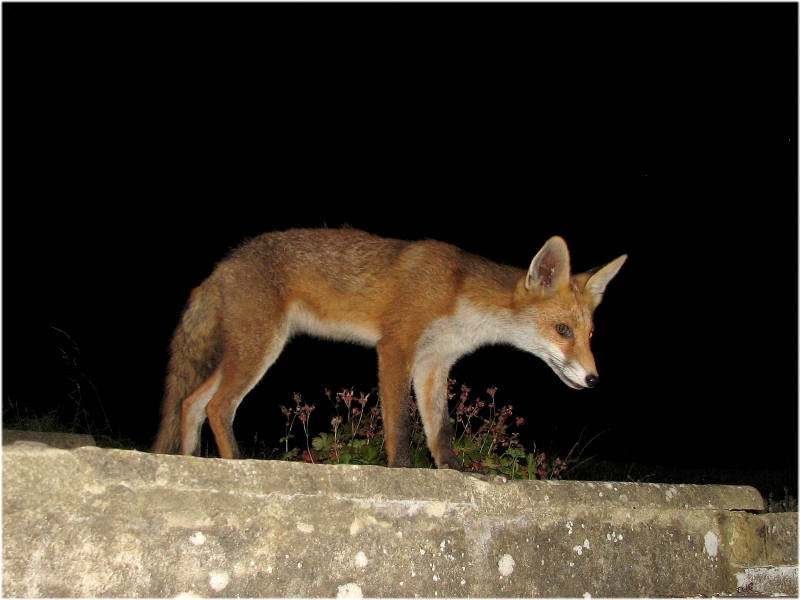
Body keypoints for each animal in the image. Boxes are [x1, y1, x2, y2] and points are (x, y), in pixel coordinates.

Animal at [152, 227, 627, 470]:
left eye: (589, 335)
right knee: (218, 407)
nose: (593, 379)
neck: (460, 296)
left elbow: (440, 432)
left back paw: (191, 463)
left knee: (192, 402)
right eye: (562, 329)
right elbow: (399, 427)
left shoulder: (435, 363)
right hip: (260, 348)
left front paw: (452, 474)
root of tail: (221, 266)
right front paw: (402, 472)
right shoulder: (397, 346)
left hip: (243, 349)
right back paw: (235, 465)